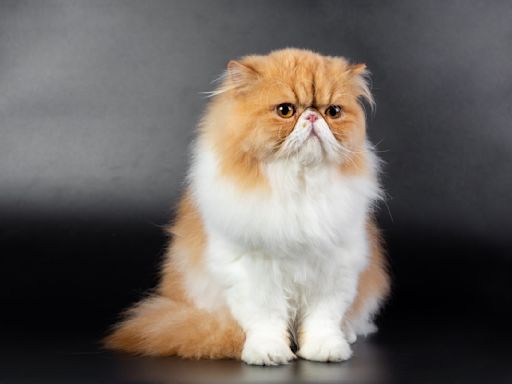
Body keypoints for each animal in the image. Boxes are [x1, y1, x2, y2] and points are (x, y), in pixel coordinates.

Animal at [106, 48, 390, 366]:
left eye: (333, 112)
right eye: (285, 111)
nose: (313, 116)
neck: (297, 185)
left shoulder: (333, 266)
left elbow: (322, 319)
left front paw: (326, 350)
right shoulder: (253, 270)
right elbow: (266, 319)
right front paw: (268, 353)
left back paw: (349, 333)